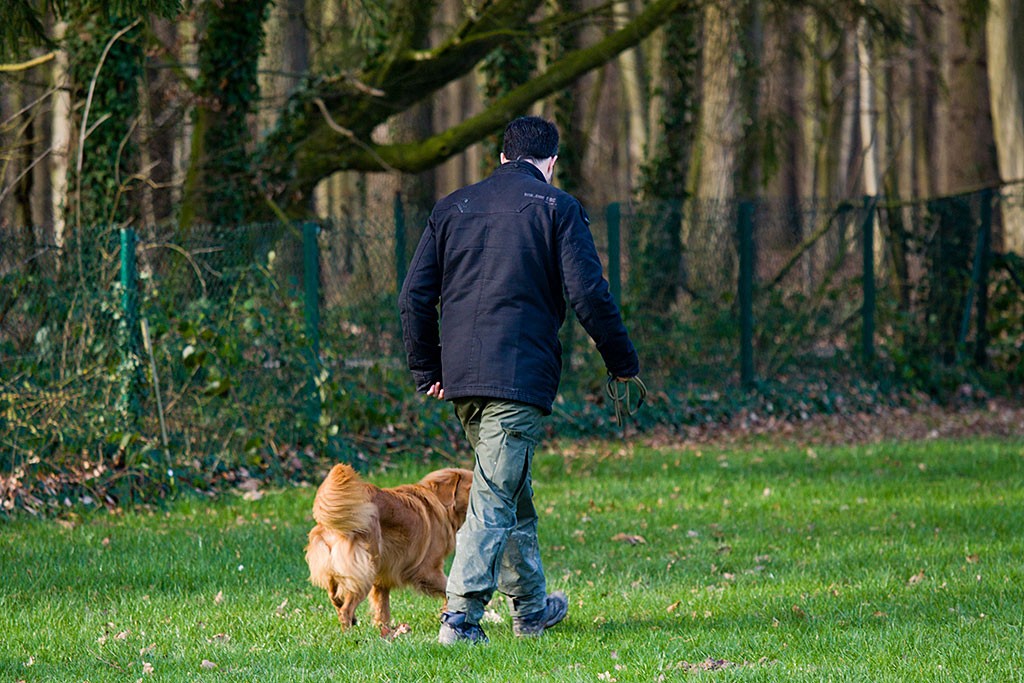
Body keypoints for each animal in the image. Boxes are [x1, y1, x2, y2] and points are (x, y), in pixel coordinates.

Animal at [303, 462, 475, 638]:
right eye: (471, 488)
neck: (439, 504)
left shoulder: (382, 578)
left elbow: (382, 608)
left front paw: (385, 632)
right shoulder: (427, 571)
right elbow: (449, 588)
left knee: (335, 597)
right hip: (366, 573)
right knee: (346, 609)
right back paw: (349, 635)